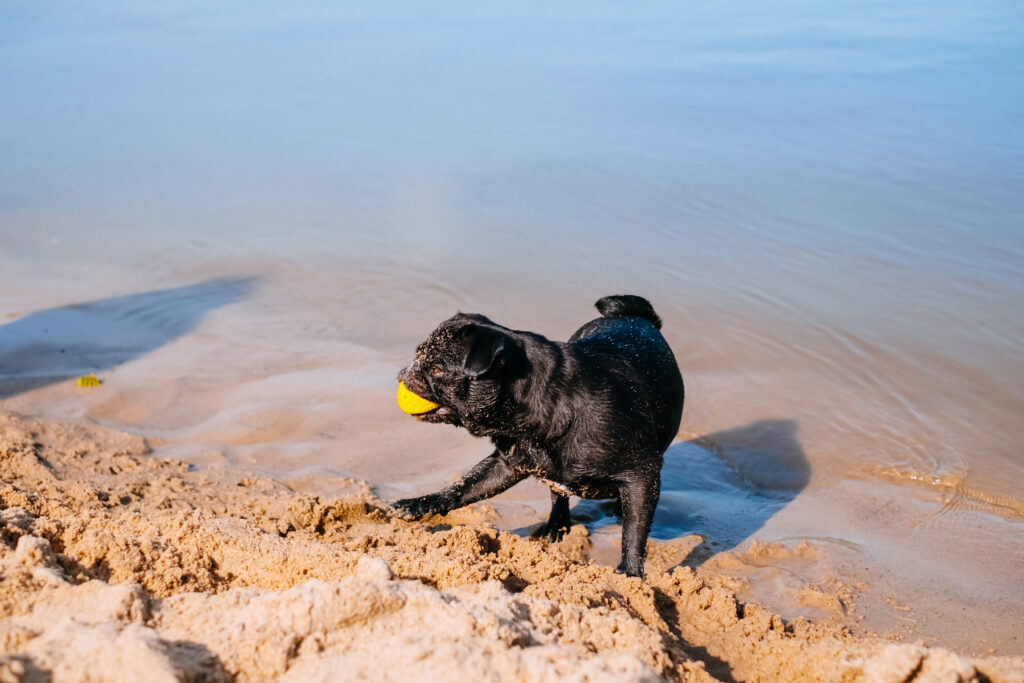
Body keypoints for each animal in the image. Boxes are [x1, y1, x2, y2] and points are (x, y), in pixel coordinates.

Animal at [395, 294, 684, 577]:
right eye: (418, 356)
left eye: (437, 370)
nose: (404, 372)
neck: (549, 403)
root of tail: (634, 317)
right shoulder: (507, 464)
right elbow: (461, 489)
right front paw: (418, 505)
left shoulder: (641, 475)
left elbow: (635, 531)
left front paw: (630, 573)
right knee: (558, 494)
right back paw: (557, 524)